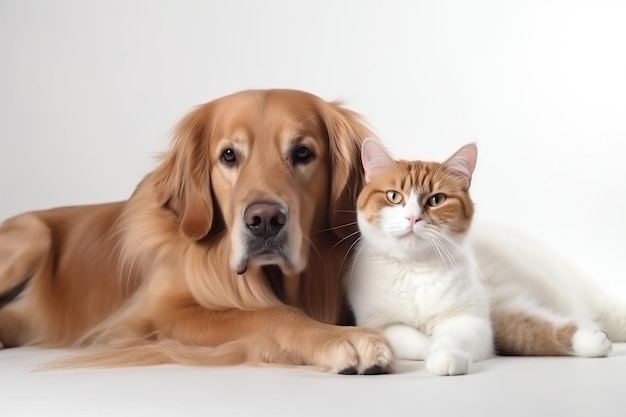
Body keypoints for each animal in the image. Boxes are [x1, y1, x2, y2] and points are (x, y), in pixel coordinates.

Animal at [0, 88, 390, 374]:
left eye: (303, 152)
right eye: (229, 155)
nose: (264, 220)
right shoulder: (150, 315)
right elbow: (265, 313)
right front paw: (337, 338)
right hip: (32, 236)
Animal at [342, 139, 492, 374]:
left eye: (437, 199)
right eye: (394, 196)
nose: (413, 218)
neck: (415, 269)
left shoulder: (471, 319)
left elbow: (454, 337)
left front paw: (445, 356)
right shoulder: (378, 323)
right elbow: (413, 339)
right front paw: (428, 347)